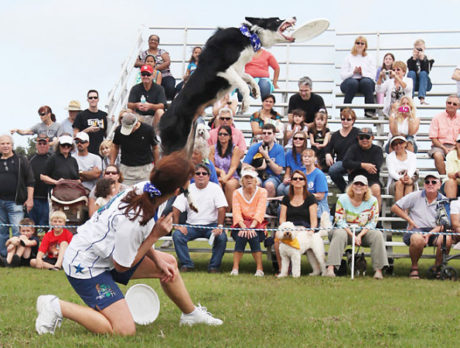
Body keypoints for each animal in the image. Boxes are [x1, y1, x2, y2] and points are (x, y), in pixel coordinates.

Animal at [160, 16, 296, 155]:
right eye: (277, 20)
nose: (294, 17)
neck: (249, 35)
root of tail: (162, 120)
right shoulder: (223, 69)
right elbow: (243, 84)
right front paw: (245, 105)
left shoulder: (238, 69)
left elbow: (248, 77)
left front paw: (256, 91)